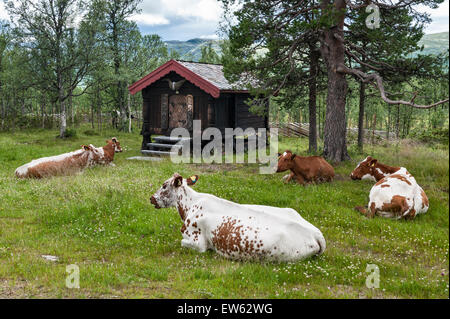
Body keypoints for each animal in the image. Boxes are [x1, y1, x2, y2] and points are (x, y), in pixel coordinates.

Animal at [149, 175, 326, 262]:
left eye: (164, 185)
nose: (151, 198)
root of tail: (316, 234)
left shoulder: (198, 243)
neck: (191, 204)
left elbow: (182, 242)